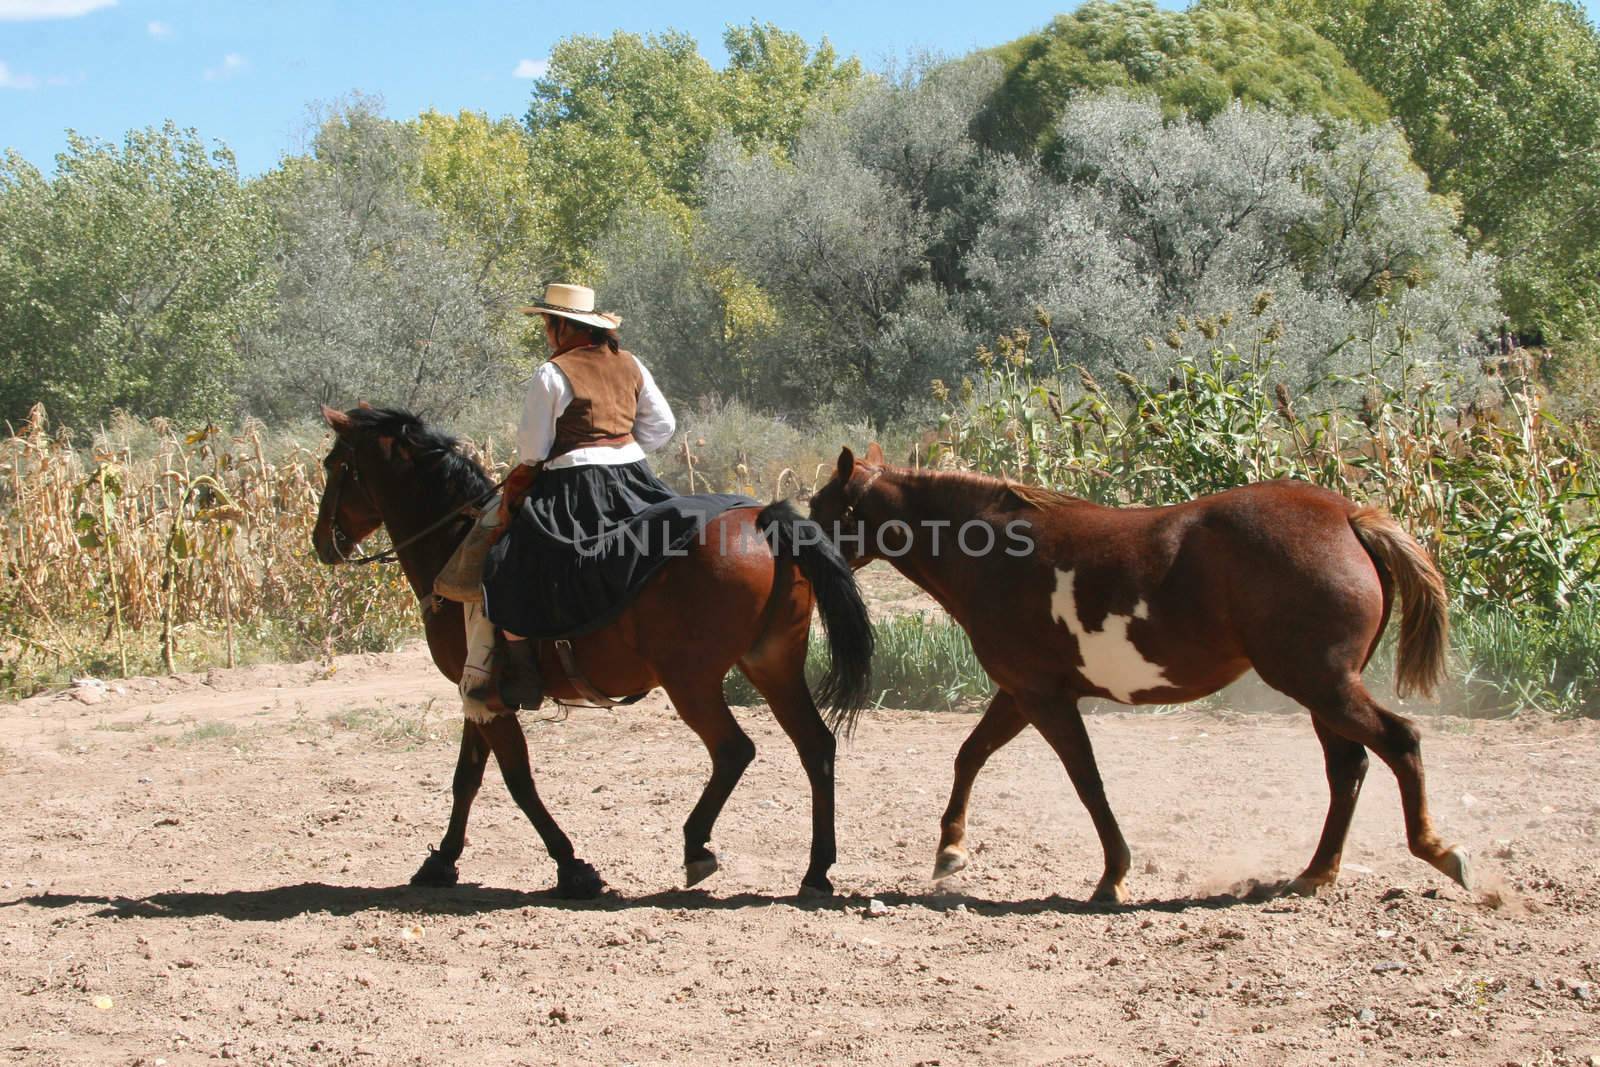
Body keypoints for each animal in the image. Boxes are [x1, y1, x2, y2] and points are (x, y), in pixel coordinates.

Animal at [305, 409, 870, 902]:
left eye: (334, 465)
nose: (320, 543)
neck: (454, 543)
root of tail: (764, 522)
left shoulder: (488, 697)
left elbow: (516, 780)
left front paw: (573, 868)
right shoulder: (476, 695)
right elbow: (467, 778)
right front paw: (441, 862)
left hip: (693, 683)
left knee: (734, 750)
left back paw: (697, 847)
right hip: (772, 666)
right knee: (816, 746)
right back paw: (816, 872)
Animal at [812, 447, 1472, 908]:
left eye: (820, 511)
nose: (799, 558)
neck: (997, 552)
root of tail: (1347, 515)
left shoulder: (1042, 698)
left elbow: (1087, 783)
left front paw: (1113, 876)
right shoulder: (1022, 693)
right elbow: (970, 755)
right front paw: (951, 850)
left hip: (1321, 685)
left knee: (1399, 742)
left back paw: (1438, 851)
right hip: (1321, 692)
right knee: (1349, 768)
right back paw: (1315, 874)